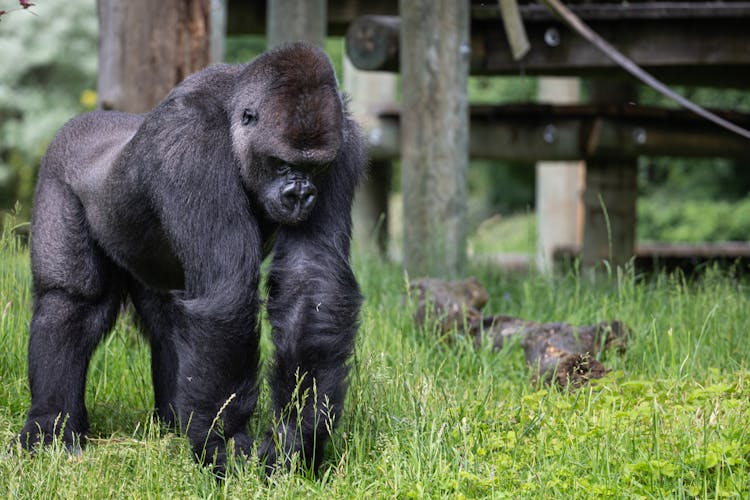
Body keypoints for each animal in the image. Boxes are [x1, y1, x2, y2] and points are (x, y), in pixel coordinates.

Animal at [19, 42, 366, 472]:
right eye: (282, 163)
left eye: (314, 167)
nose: (300, 194)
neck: (234, 120)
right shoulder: (193, 147)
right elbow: (226, 294)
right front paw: (224, 444)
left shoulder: (344, 146)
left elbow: (311, 281)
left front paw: (297, 436)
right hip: (58, 170)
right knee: (72, 302)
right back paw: (50, 426)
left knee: (167, 320)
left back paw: (172, 423)